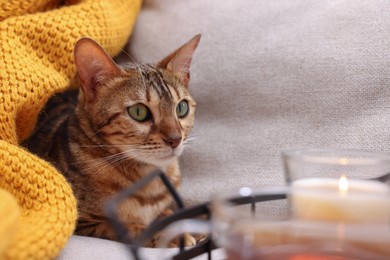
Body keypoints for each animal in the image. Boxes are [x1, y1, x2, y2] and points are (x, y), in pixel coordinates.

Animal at [24, 34, 201, 246]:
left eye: (181, 108)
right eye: (139, 112)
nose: (175, 139)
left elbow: (167, 212)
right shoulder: (83, 222)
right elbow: (129, 228)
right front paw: (170, 235)